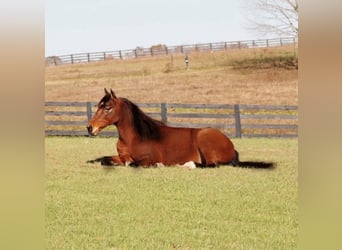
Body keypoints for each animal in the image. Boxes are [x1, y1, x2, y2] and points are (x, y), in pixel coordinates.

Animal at [87, 89, 274, 169]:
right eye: (98, 106)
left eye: (108, 107)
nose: (90, 128)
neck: (135, 137)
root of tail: (232, 147)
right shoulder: (120, 157)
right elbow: (106, 159)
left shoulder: (147, 159)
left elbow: (133, 164)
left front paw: (159, 165)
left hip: (204, 139)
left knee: (211, 165)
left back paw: (188, 164)